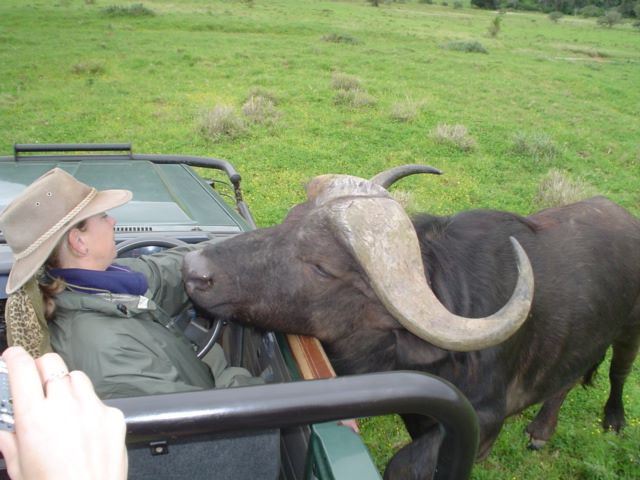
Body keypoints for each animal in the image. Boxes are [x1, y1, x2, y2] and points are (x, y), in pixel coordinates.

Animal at [181, 167, 640, 478]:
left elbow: (406, 465)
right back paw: (542, 429)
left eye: (322, 267)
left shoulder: (485, 417)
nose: (194, 268)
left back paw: (612, 421)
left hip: (629, 334)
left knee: (617, 372)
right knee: (567, 377)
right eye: (290, 219)